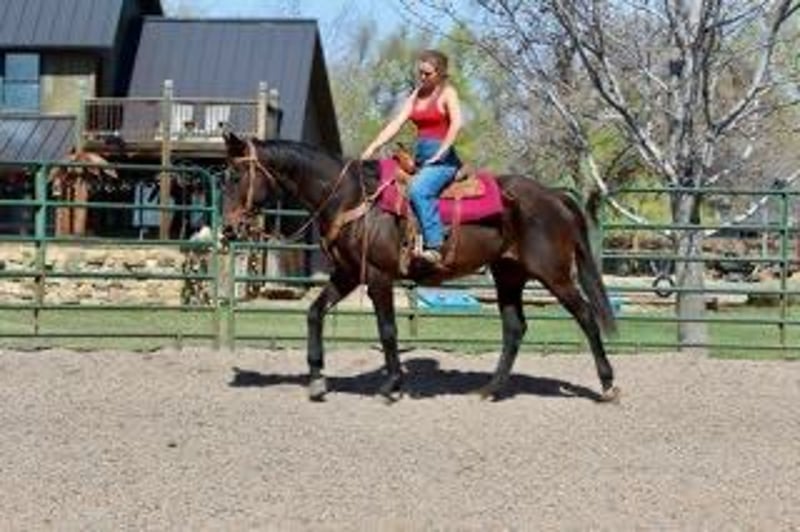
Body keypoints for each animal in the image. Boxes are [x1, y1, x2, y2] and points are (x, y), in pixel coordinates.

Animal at [221, 131, 619, 403]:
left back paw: (608, 385)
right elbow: (315, 313)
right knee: (515, 328)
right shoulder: (348, 274)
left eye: (236, 177)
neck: (350, 197)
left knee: (586, 316)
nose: (227, 229)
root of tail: (554, 196)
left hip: (554, 275)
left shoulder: (378, 277)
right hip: (509, 275)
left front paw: (392, 385)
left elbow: (387, 330)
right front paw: (317, 380)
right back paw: (489, 388)